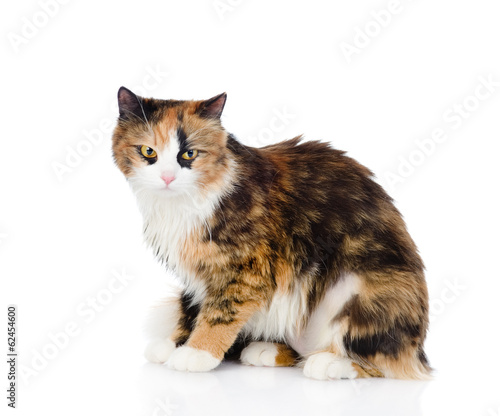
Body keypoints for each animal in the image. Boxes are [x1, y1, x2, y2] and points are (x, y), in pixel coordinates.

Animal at [112, 88, 430, 380]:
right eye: (148, 152)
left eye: (189, 154)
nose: (167, 177)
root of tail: (420, 352)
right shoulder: (198, 274)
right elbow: (191, 307)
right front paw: (174, 344)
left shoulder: (247, 268)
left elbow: (221, 311)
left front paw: (197, 352)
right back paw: (267, 350)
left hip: (363, 288)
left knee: (381, 363)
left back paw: (328, 362)